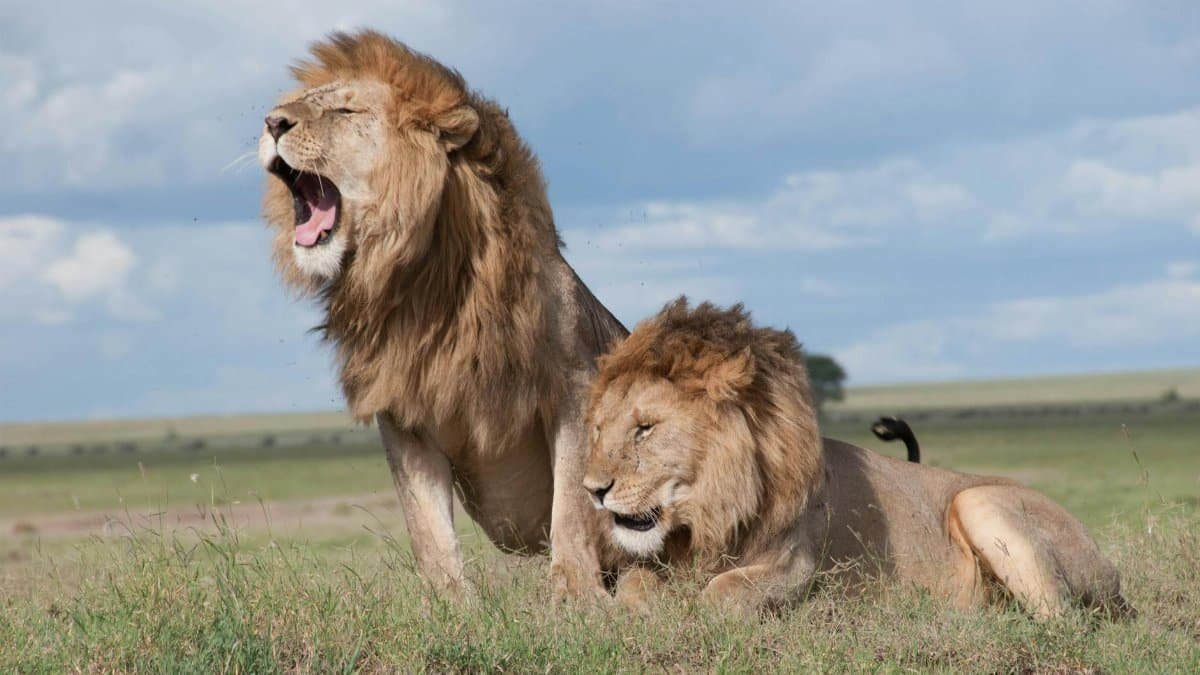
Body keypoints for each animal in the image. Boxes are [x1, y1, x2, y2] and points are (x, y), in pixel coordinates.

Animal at [259, 31, 627, 599]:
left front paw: (576, 597)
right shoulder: (402, 410)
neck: (421, 284)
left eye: (344, 110)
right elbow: (427, 526)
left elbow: (571, 505)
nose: (272, 122)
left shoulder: (574, 385)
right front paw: (451, 604)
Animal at [583, 298, 1131, 618]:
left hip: (979, 501)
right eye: (599, 429)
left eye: (645, 429)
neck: (709, 514)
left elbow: (722, 593)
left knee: (1063, 621)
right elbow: (633, 584)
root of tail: (1111, 571)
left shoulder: (797, 567)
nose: (592, 491)